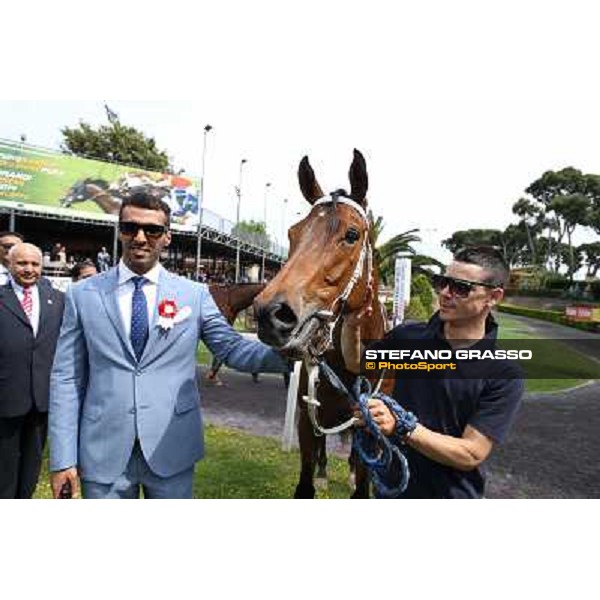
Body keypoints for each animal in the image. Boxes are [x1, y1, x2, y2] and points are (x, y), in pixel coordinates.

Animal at [254, 151, 390, 502]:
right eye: (293, 233)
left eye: (352, 235)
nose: (270, 313)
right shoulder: (308, 419)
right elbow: (305, 482)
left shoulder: (372, 427)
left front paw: (358, 477)